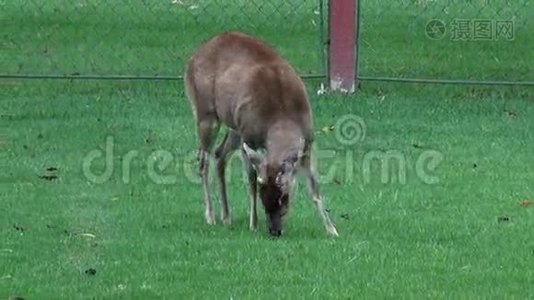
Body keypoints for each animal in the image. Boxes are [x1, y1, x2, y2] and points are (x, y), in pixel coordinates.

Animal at [184, 30, 340, 237]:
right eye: (262, 196)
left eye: (284, 197)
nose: (274, 231)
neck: (282, 114)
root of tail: (192, 58)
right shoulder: (248, 136)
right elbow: (250, 179)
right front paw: (253, 223)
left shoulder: (308, 141)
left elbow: (315, 186)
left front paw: (332, 229)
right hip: (205, 113)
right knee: (203, 160)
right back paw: (210, 216)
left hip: (234, 124)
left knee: (219, 153)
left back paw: (227, 216)